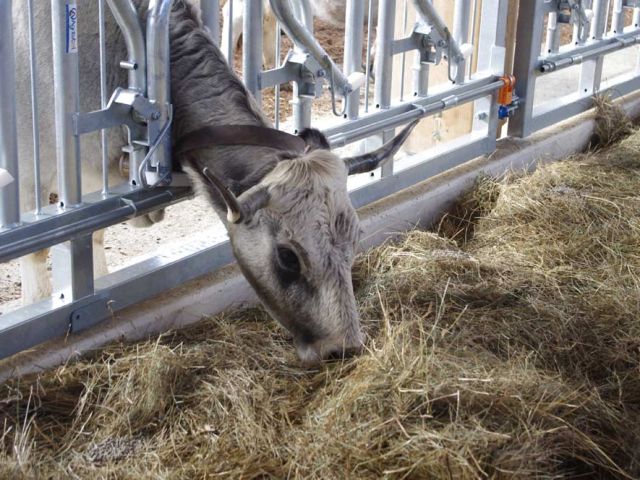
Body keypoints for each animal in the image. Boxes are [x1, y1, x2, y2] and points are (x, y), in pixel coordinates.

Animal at [12, 0, 416, 362]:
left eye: (357, 236)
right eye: (287, 257)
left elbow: (91, 238)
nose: (342, 348)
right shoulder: (36, 168)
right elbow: (42, 250)